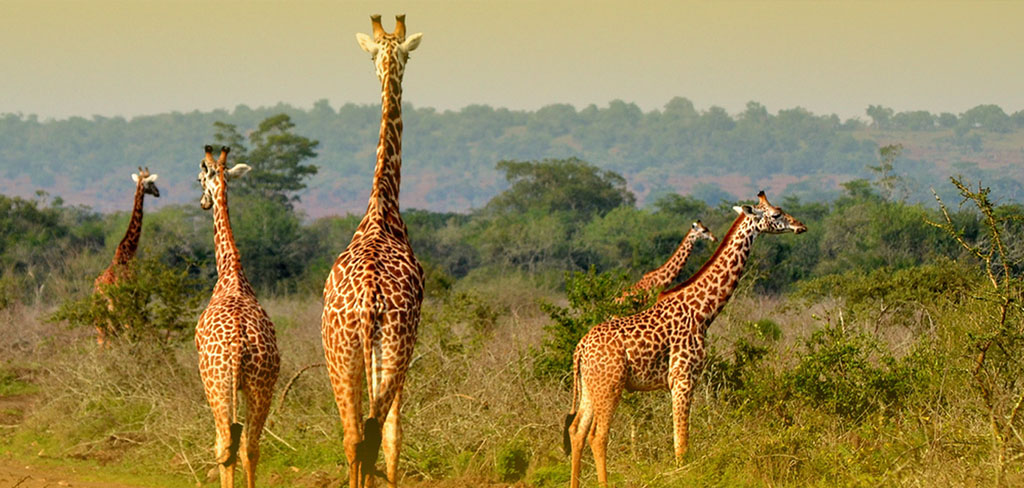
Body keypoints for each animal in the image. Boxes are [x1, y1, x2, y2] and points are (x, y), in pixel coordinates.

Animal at [92, 167, 160, 345]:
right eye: (152, 183)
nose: (158, 192)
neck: (126, 253)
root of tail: (99, 291)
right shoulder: (134, 296)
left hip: (99, 313)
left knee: (102, 338)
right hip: (116, 308)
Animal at [563, 191, 806, 487]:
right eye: (776, 214)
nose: (801, 226)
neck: (702, 311)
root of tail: (579, 348)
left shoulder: (685, 379)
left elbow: (680, 440)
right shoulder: (682, 377)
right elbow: (681, 444)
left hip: (590, 386)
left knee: (577, 431)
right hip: (610, 384)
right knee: (598, 436)